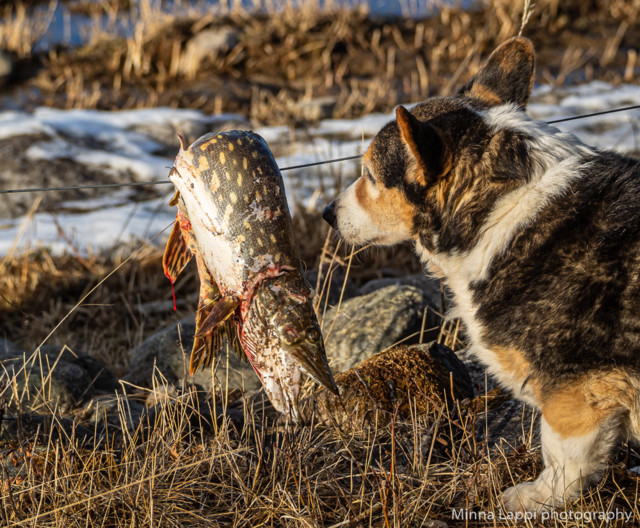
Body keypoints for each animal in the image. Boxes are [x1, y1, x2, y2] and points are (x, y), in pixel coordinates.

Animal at [322, 36, 640, 512]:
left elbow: (562, 452)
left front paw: (535, 498)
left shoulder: (577, 385)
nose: (326, 213)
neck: (501, 205)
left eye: (370, 176)